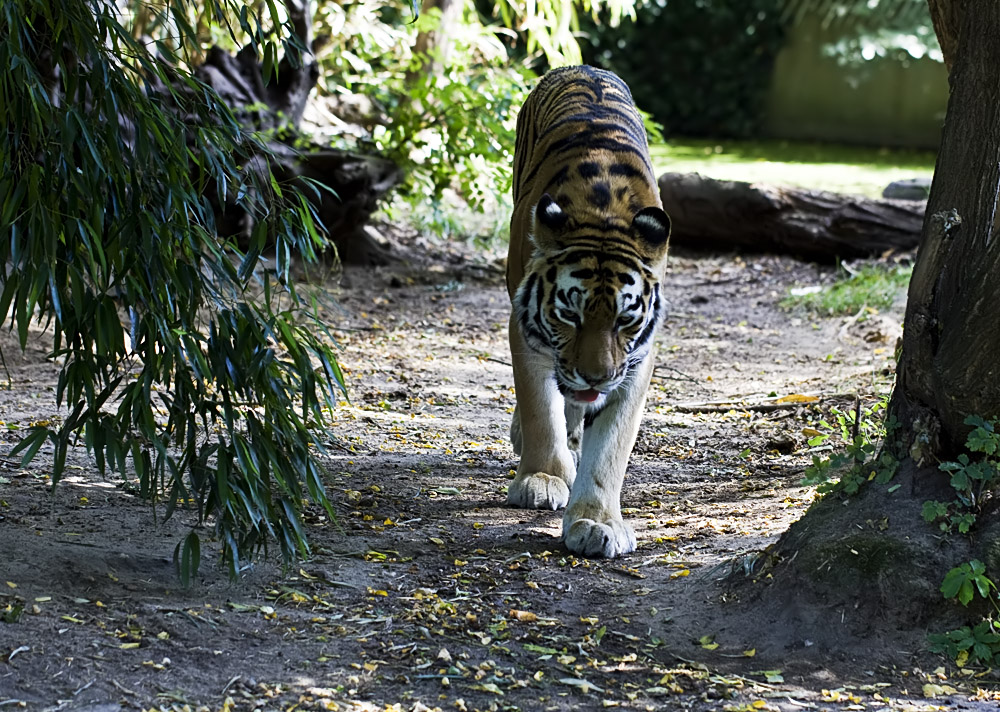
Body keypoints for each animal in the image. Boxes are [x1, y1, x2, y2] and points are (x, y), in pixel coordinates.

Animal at [504, 65, 668, 556]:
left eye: (624, 319)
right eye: (569, 316)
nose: (595, 377)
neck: (603, 211)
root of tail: (580, 66)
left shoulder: (637, 358)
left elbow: (612, 443)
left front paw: (597, 521)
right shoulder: (526, 327)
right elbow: (539, 406)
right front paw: (542, 479)